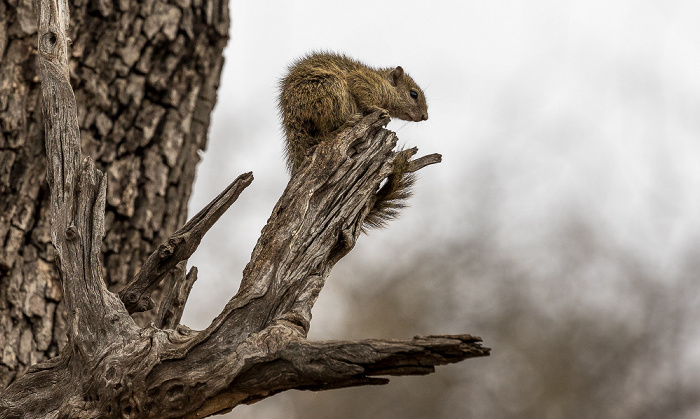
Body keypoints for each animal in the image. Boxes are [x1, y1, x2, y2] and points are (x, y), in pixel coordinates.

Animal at [278, 53, 426, 231]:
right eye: (413, 94)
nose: (425, 116)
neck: (381, 81)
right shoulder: (361, 81)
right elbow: (364, 96)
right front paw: (378, 110)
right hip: (329, 91)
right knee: (326, 132)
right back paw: (347, 123)